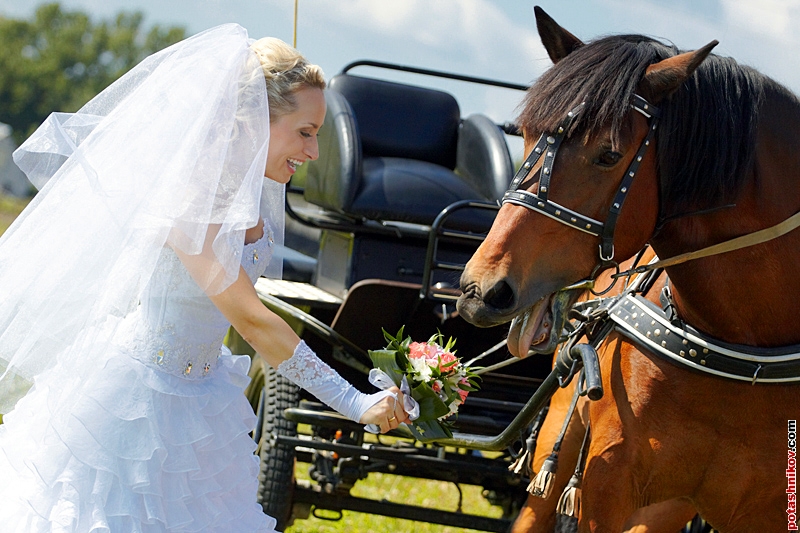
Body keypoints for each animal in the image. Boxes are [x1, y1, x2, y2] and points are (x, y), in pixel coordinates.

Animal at [460, 7, 796, 532]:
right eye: (528, 133)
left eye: (609, 155)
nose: (482, 288)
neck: (744, 343)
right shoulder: (606, 482)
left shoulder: (766, 508)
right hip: (560, 449)